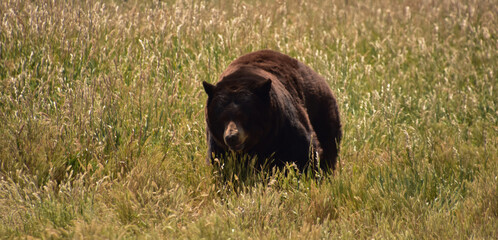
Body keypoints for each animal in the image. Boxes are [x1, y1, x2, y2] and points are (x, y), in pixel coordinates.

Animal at [202, 49, 342, 172]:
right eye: (221, 118)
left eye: (244, 116)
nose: (231, 137)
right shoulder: (217, 143)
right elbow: (220, 163)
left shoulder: (286, 125)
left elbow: (304, 152)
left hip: (322, 112)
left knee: (329, 144)